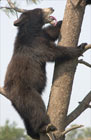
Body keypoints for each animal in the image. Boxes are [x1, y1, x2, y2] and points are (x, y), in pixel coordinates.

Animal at [3, 7, 86, 139]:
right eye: (38, 10)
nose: (51, 8)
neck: (32, 31)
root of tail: (9, 94)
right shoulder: (36, 45)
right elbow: (54, 51)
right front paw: (80, 47)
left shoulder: (43, 35)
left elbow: (51, 32)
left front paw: (61, 22)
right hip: (26, 91)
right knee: (35, 107)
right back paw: (46, 126)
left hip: (19, 105)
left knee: (27, 116)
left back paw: (33, 133)